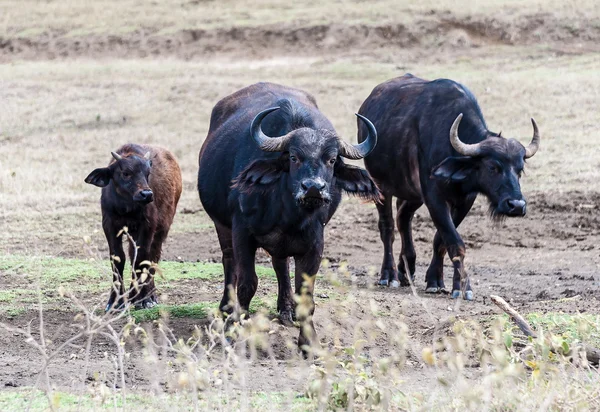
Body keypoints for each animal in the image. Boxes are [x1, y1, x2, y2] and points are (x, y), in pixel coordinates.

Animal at [84, 144, 182, 308]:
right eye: (125, 173)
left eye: (147, 173)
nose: (147, 194)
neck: (126, 207)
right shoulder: (110, 225)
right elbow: (118, 258)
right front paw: (115, 301)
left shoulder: (147, 226)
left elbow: (141, 258)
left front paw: (139, 298)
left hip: (162, 229)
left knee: (153, 257)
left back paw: (149, 296)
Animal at [198, 83, 380, 350]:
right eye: (294, 157)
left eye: (331, 159)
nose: (313, 188)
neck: (287, 214)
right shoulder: (242, 233)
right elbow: (247, 284)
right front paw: (234, 328)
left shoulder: (315, 243)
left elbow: (306, 294)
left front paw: (309, 342)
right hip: (222, 226)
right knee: (229, 262)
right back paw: (226, 308)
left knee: (280, 264)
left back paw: (285, 310)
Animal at [356, 74, 540, 300]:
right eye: (492, 167)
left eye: (520, 169)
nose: (516, 205)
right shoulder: (434, 196)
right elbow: (454, 241)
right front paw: (463, 287)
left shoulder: (464, 201)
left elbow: (440, 240)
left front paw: (436, 280)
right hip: (382, 186)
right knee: (388, 227)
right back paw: (389, 275)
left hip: (411, 193)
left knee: (403, 218)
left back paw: (406, 269)